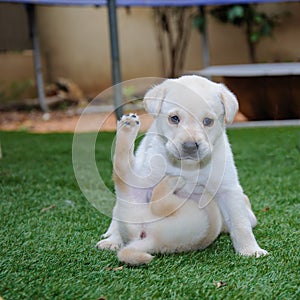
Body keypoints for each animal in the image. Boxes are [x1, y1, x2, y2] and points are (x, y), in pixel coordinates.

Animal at [96, 75, 268, 264]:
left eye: (208, 121)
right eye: (174, 118)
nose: (190, 146)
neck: (187, 167)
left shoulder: (228, 189)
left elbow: (240, 223)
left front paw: (250, 250)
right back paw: (112, 239)